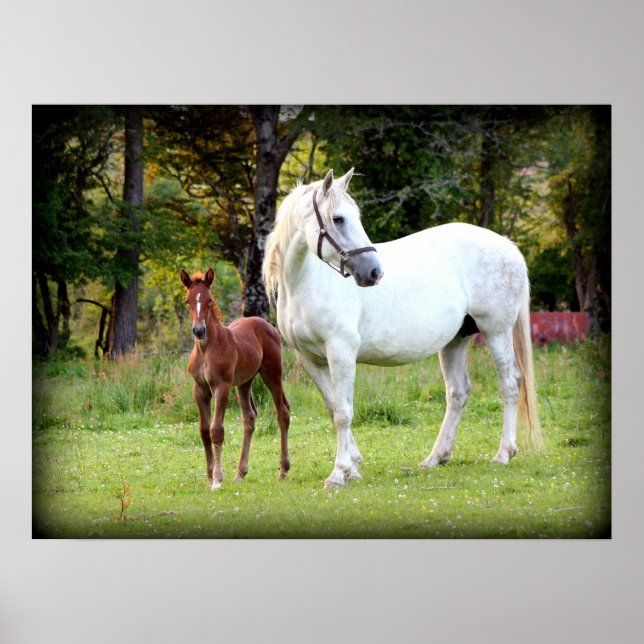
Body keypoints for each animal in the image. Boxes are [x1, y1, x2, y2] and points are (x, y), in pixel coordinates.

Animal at [180, 268, 290, 490]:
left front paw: (217, 479)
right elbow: (204, 431)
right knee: (249, 418)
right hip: (244, 384)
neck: (206, 349)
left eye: (209, 299)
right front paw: (209, 476)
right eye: (187, 301)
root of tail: (266, 324)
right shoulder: (200, 390)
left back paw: (283, 470)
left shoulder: (222, 387)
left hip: (272, 375)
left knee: (282, 413)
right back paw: (240, 473)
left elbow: (216, 431)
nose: (199, 330)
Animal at [262, 168, 543, 489]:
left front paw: (338, 473)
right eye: (338, 218)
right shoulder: (310, 359)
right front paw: (353, 467)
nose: (374, 272)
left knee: (509, 383)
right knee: (458, 393)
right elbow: (334, 408)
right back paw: (436, 457)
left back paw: (504, 453)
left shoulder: (341, 352)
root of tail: (508, 246)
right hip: (455, 340)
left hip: (496, 331)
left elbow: (344, 413)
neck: (306, 283)